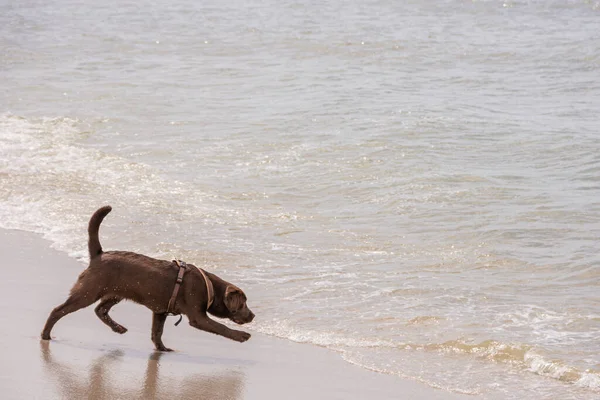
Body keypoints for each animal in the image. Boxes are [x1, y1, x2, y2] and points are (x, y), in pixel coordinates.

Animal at [40, 206, 253, 350]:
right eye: (243, 304)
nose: (253, 316)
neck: (210, 287)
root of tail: (98, 255)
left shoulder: (160, 312)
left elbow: (156, 333)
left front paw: (162, 349)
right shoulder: (197, 317)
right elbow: (221, 327)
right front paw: (241, 336)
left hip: (115, 293)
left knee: (100, 310)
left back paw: (118, 328)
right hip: (88, 291)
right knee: (58, 310)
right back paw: (46, 335)